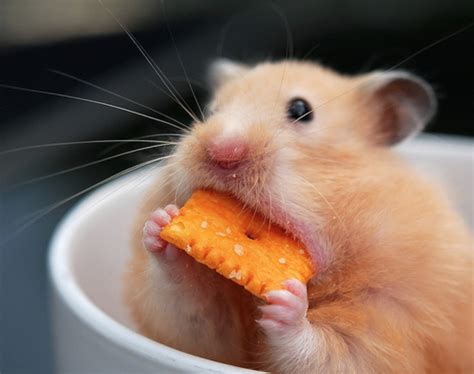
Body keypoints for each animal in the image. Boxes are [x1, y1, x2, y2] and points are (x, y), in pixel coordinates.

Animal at [123, 60, 474, 372]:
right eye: (212, 111)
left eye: (300, 110)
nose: (223, 151)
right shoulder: (200, 338)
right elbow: (191, 313)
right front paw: (160, 223)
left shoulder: (387, 321)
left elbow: (330, 354)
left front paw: (288, 304)